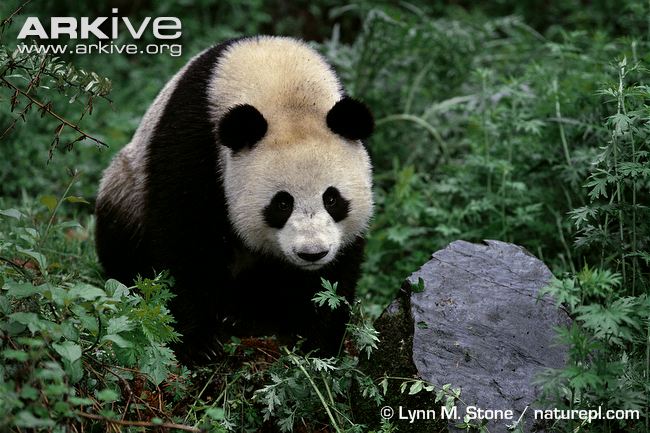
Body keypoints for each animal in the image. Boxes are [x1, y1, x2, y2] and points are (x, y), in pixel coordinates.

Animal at [95, 36, 374, 362]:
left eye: (332, 199)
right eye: (282, 203)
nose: (312, 253)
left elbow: (336, 273)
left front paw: (318, 341)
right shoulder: (193, 141)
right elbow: (185, 237)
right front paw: (201, 343)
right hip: (126, 188)